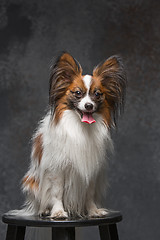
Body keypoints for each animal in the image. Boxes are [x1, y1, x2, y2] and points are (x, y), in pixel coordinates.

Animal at [17, 52, 126, 219]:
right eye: (78, 93)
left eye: (97, 94)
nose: (89, 106)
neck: (80, 127)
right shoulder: (57, 169)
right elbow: (57, 193)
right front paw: (58, 211)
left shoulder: (91, 170)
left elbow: (89, 194)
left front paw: (93, 211)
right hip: (32, 182)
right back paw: (44, 210)